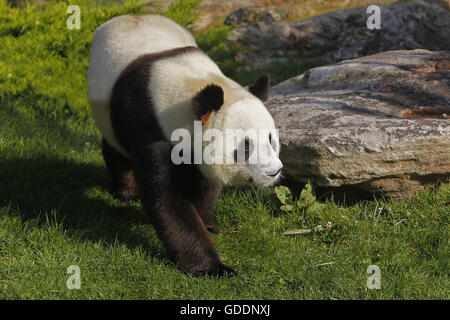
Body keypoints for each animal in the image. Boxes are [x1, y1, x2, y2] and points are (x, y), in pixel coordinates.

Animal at [87, 14, 284, 276]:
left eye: (271, 138)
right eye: (245, 146)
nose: (274, 172)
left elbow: (205, 186)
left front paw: (206, 223)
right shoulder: (151, 127)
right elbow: (167, 198)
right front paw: (212, 268)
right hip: (109, 111)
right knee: (116, 148)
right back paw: (127, 191)